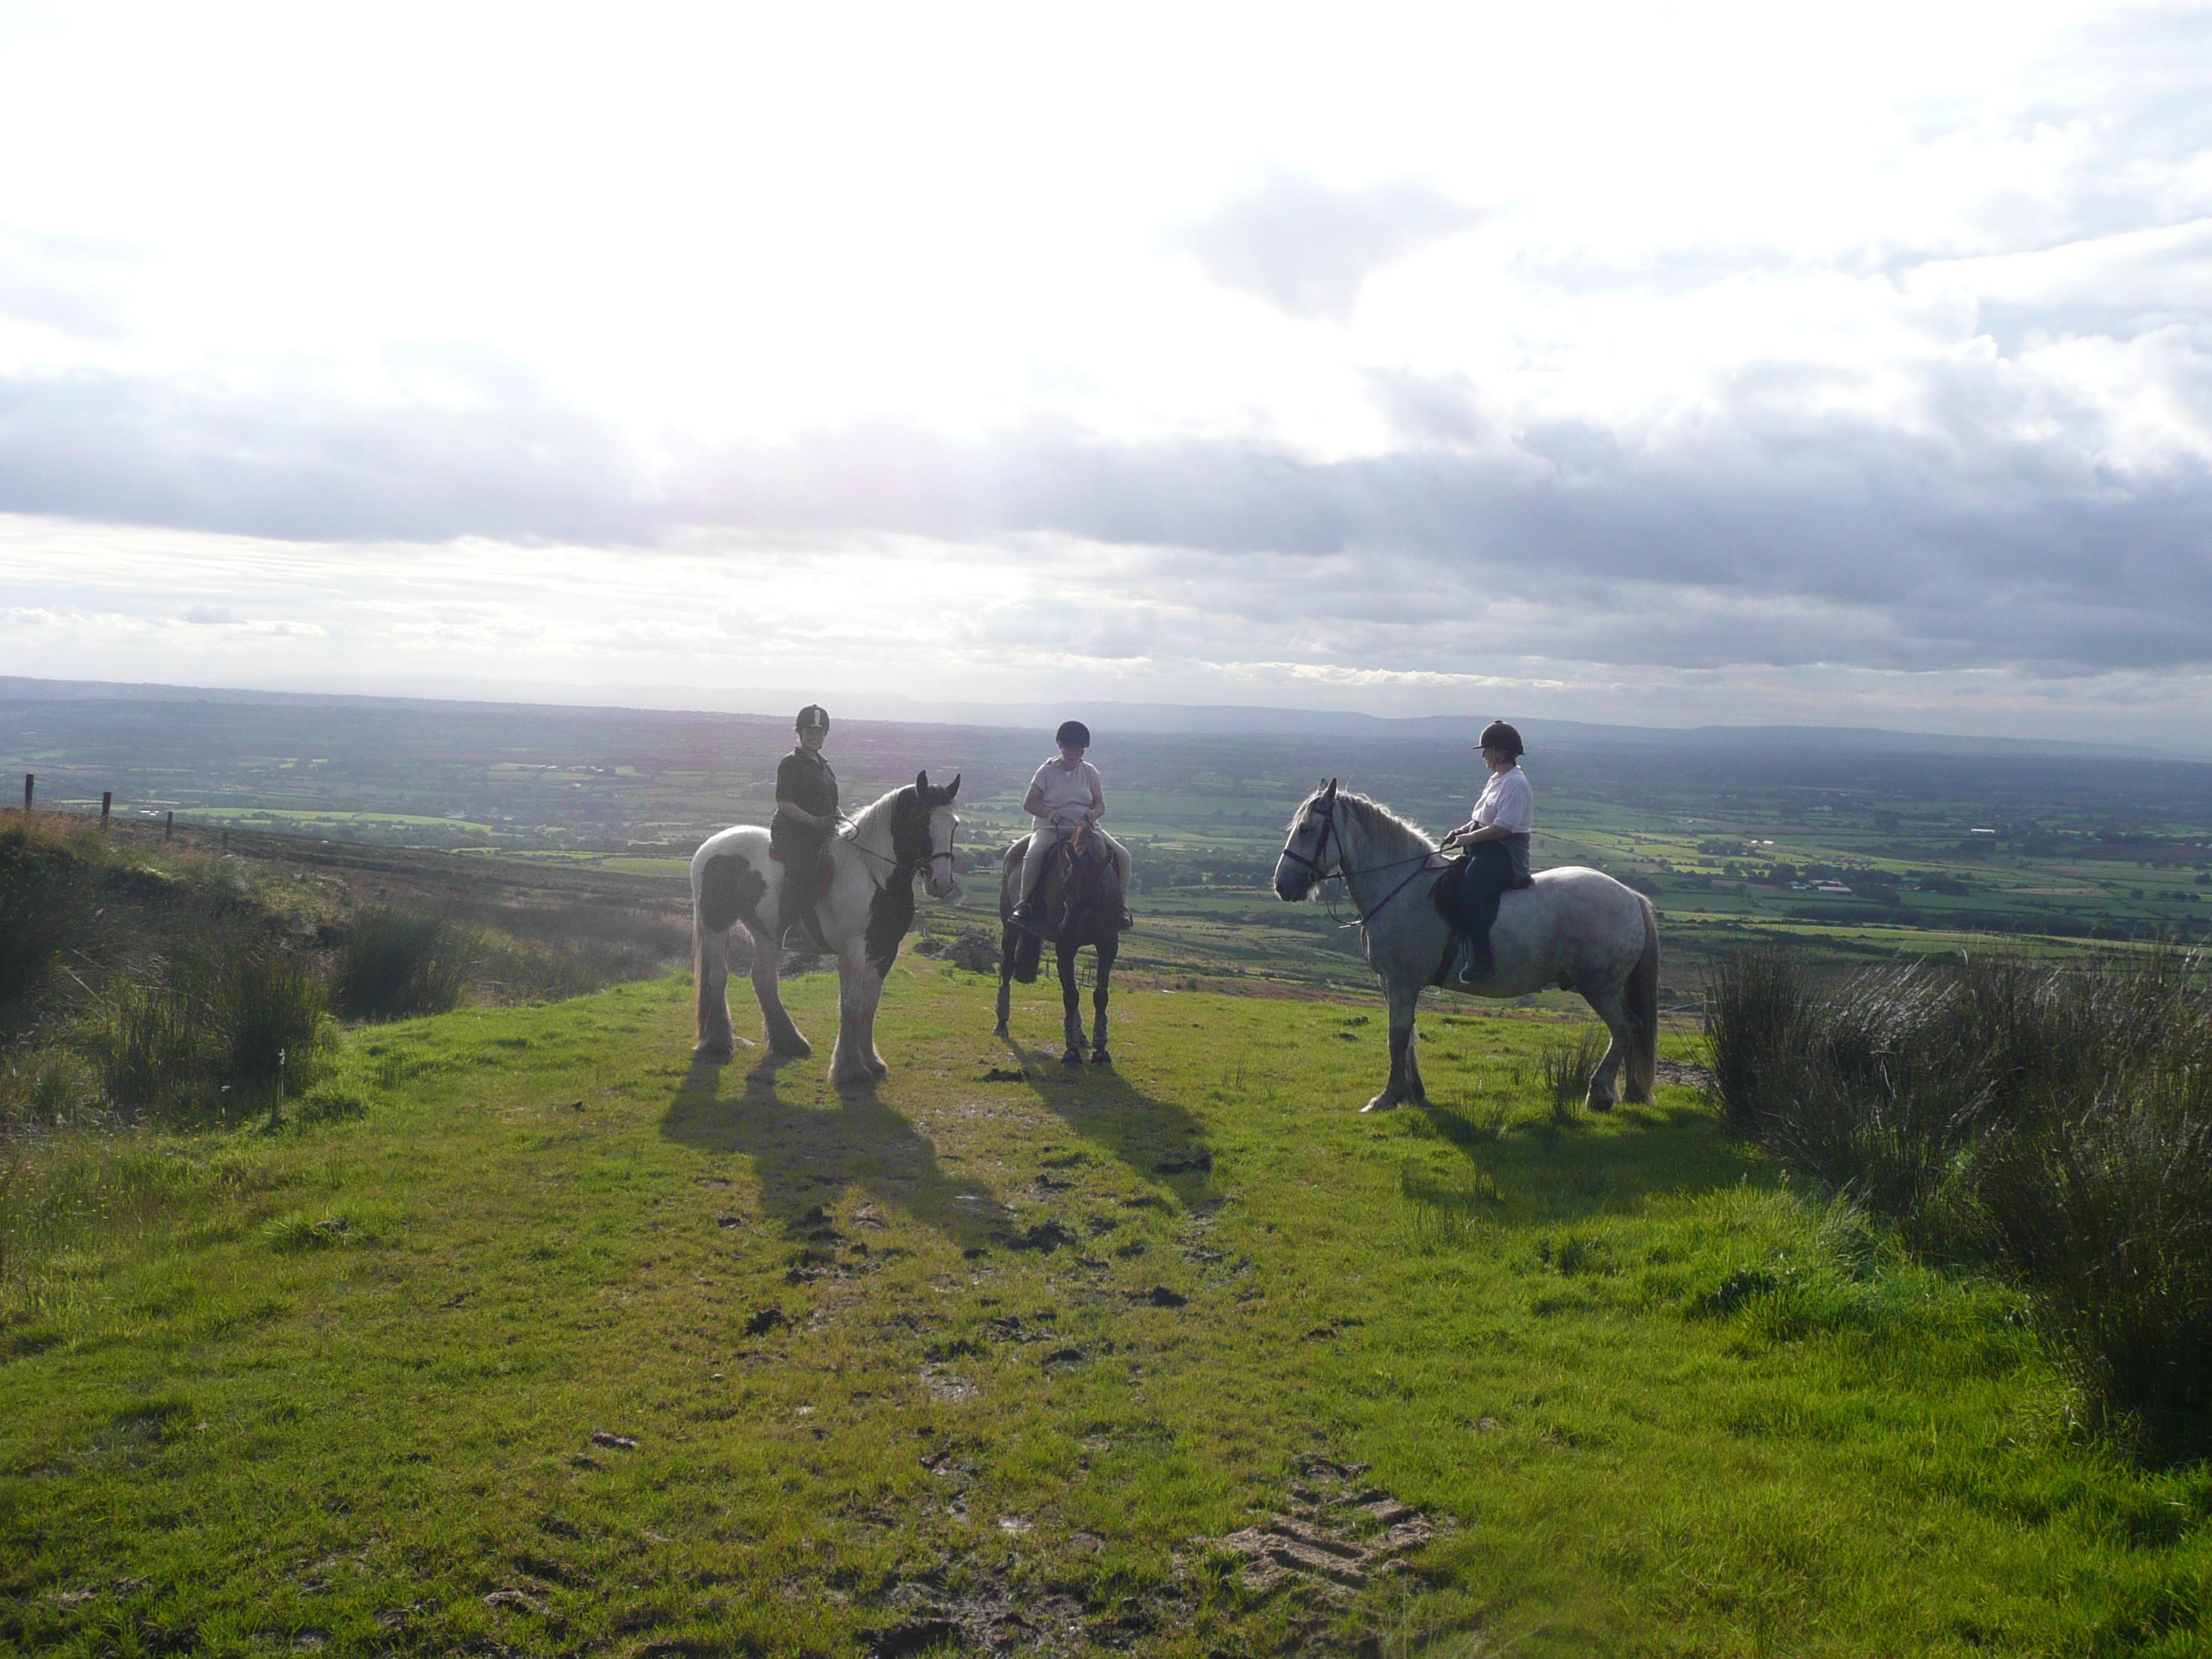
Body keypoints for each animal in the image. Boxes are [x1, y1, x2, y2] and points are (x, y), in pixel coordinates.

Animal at [690, 771, 961, 1086]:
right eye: (921, 819)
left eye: (954, 824)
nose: (942, 883)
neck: (874, 875)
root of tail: (709, 846)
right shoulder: (853, 950)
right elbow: (851, 1004)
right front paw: (851, 1069)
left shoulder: (884, 951)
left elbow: (870, 1005)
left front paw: (872, 1061)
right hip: (715, 925)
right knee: (718, 977)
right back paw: (718, 1042)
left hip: (766, 933)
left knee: (763, 979)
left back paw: (789, 1042)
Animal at [993, 826, 1125, 1066]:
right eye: (1065, 884)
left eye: (1101, 886)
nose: (1069, 928)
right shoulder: (1065, 948)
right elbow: (1071, 995)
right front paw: (1071, 1052)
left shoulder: (1108, 946)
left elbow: (1100, 995)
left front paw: (1100, 1048)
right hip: (1010, 927)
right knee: (1006, 967)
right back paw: (1001, 1024)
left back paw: (1082, 1037)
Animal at [1273, 779, 1657, 1113]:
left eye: (1305, 829)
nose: (1282, 885)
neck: (1401, 886)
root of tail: (1630, 897)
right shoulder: (1396, 985)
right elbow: (1409, 1036)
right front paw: (1414, 1093)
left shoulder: (1400, 982)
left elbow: (1397, 1037)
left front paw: (1387, 1098)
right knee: (1629, 1030)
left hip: (1600, 987)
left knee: (1625, 1028)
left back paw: (1600, 1094)